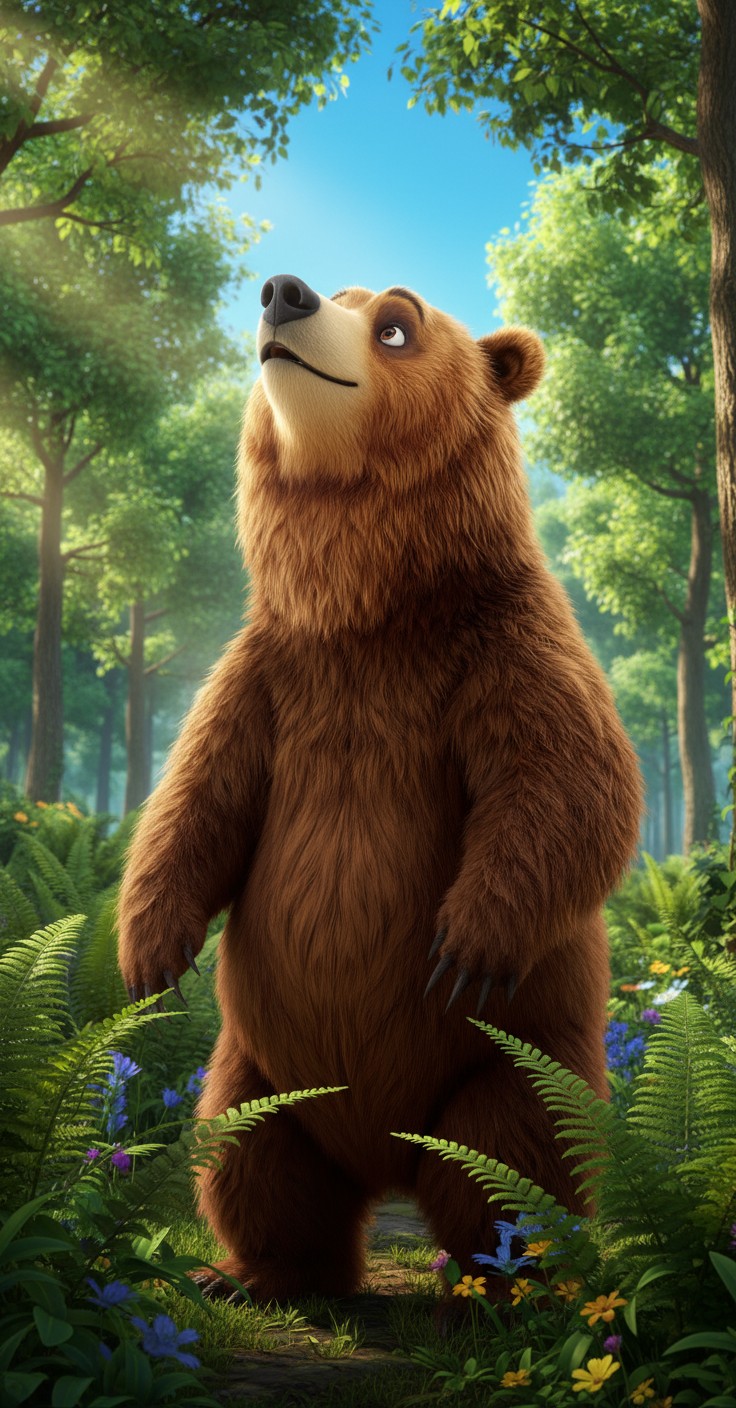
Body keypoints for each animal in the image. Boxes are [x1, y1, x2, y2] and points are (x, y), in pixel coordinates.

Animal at [117, 274, 642, 1303]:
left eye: (396, 324)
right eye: (337, 291)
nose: (284, 291)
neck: (367, 607)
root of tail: (383, 1157)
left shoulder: (503, 639)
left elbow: (571, 778)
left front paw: (466, 940)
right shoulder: (276, 671)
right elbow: (198, 794)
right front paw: (153, 957)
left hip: (512, 1062)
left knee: (510, 1164)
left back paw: (502, 1288)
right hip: (254, 1069)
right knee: (248, 1159)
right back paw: (253, 1274)